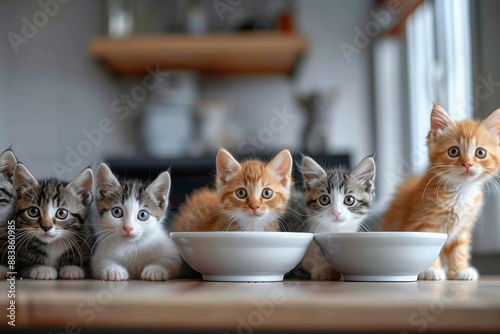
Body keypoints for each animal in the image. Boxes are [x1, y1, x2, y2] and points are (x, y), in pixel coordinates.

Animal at [380, 103, 500, 280]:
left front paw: (460, 270)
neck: (459, 192)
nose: (467, 164)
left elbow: (459, 249)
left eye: (480, 153)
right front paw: (431, 270)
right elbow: (429, 246)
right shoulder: (423, 222)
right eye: (453, 151)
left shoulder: (462, 228)